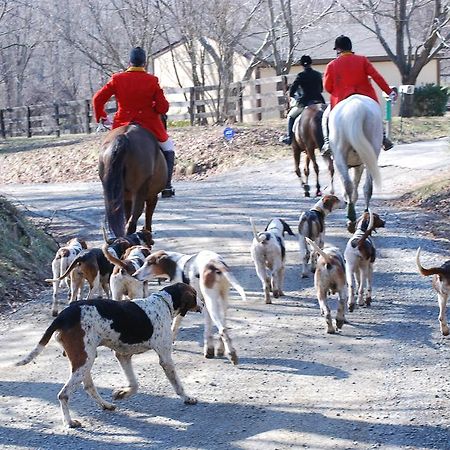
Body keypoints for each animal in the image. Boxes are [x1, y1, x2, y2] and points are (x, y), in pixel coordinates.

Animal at [15, 284, 202, 428]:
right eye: (195, 295)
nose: (202, 304)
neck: (164, 302)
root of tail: (63, 315)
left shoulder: (123, 355)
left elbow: (134, 384)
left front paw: (122, 393)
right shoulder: (165, 358)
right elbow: (178, 385)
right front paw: (188, 398)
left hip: (84, 360)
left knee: (89, 387)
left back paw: (105, 405)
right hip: (84, 361)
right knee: (63, 395)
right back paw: (69, 422)